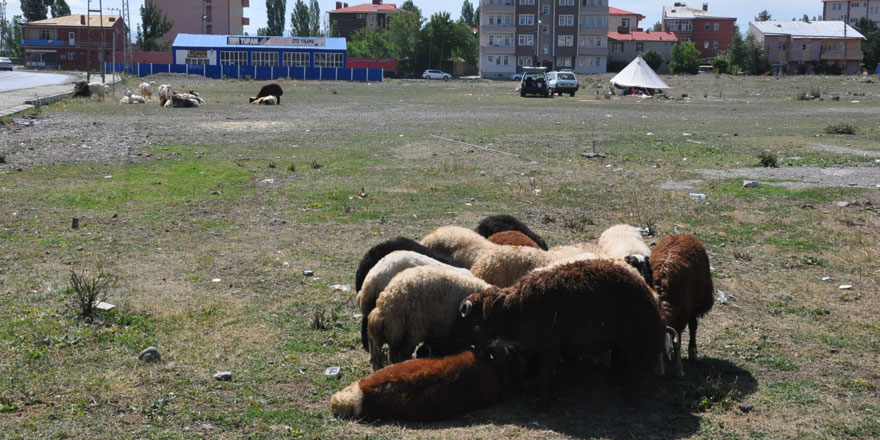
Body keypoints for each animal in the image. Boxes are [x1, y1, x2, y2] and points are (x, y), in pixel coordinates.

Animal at [454, 260, 672, 394]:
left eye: (475, 327)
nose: (475, 352)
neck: (513, 308)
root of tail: (651, 299)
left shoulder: (549, 345)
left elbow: (545, 372)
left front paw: (542, 395)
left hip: (627, 337)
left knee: (628, 364)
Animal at [648, 234, 716, 374]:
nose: (658, 372)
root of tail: (681, 234)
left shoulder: (682, 315)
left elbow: (678, 343)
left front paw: (679, 369)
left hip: (697, 301)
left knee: (693, 325)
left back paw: (692, 350)